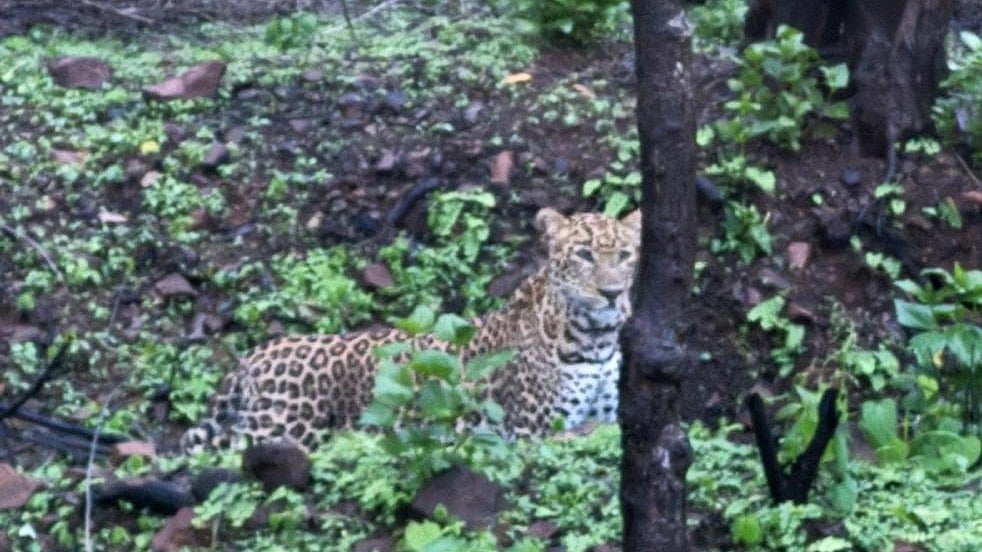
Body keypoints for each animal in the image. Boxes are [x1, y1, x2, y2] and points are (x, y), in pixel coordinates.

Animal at [180, 207, 641, 453]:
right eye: (583, 255)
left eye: (625, 255)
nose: (612, 293)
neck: (594, 341)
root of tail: (253, 357)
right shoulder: (534, 431)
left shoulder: (608, 415)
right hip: (281, 431)